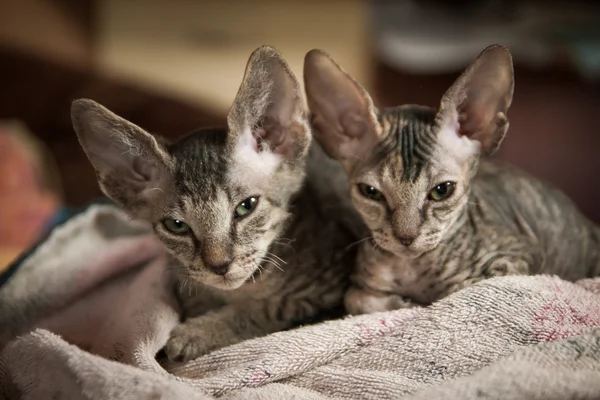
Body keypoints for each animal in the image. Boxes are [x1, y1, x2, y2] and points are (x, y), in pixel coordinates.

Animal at [72, 45, 358, 360]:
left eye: (246, 206)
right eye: (176, 225)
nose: (219, 266)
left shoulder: (332, 288)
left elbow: (270, 309)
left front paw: (196, 334)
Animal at [304, 45, 600, 316]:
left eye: (442, 190)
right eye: (371, 192)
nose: (406, 238)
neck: (413, 268)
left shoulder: (522, 255)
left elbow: (463, 288)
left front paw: (423, 300)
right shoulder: (361, 283)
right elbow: (355, 298)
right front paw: (402, 303)